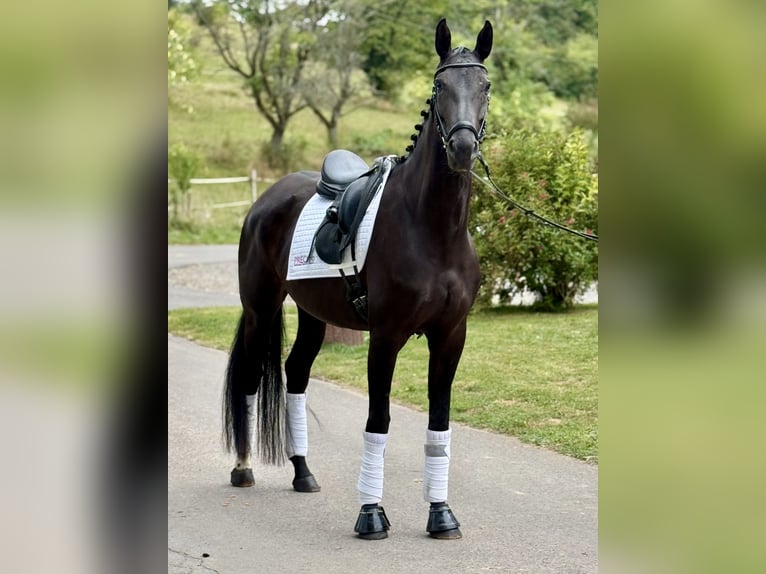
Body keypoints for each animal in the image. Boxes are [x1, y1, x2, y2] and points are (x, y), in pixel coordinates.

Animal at [223, 18, 493, 540]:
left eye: (485, 86)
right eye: (440, 86)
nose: (463, 149)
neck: (431, 229)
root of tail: (267, 198)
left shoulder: (452, 335)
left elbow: (439, 423)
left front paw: (440, 514)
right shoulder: (385, 336)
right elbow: (379, 420)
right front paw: (370, 514)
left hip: (312, 314)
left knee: (296, 375)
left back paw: (303, 473)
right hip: (260, 308)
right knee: (249, 376)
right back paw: (243, 469)